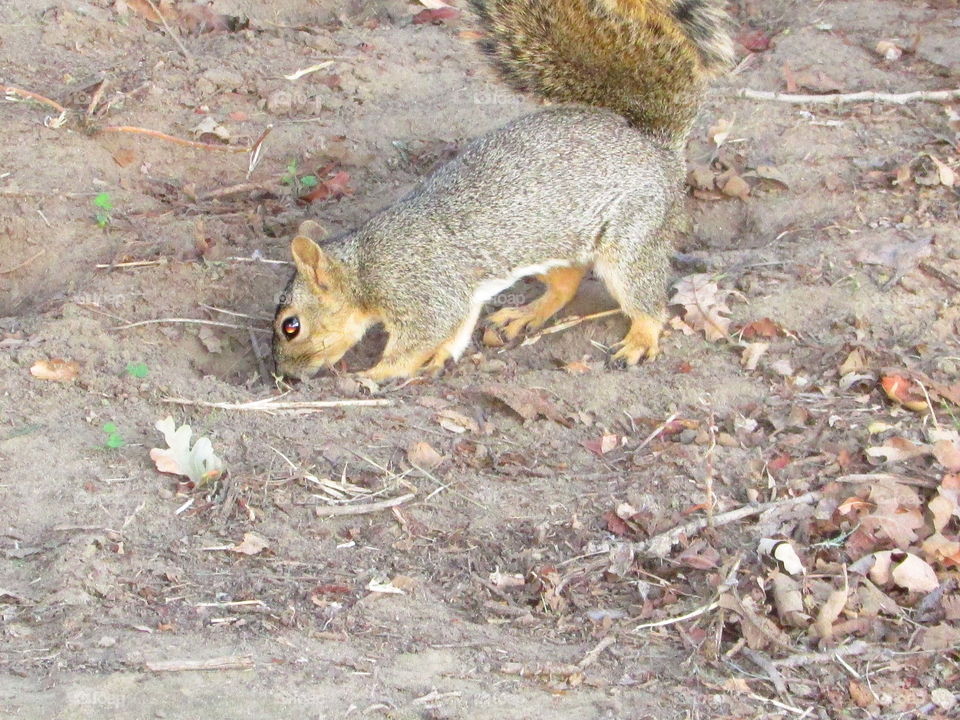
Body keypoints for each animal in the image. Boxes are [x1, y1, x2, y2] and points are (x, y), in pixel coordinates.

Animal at [273, 0, 733, 381]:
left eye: (290, 326)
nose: (284, 377)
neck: (363, 268)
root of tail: (653, 145)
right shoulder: (458, 297)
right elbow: (457, 329)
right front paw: (442, 357)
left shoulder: (423, 294)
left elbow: (416, 342)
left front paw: (375, 373)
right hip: (549, 242)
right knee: (566, 282)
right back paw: (525, 314)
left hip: (633, 234)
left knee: (646, 300)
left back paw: (639, 340)